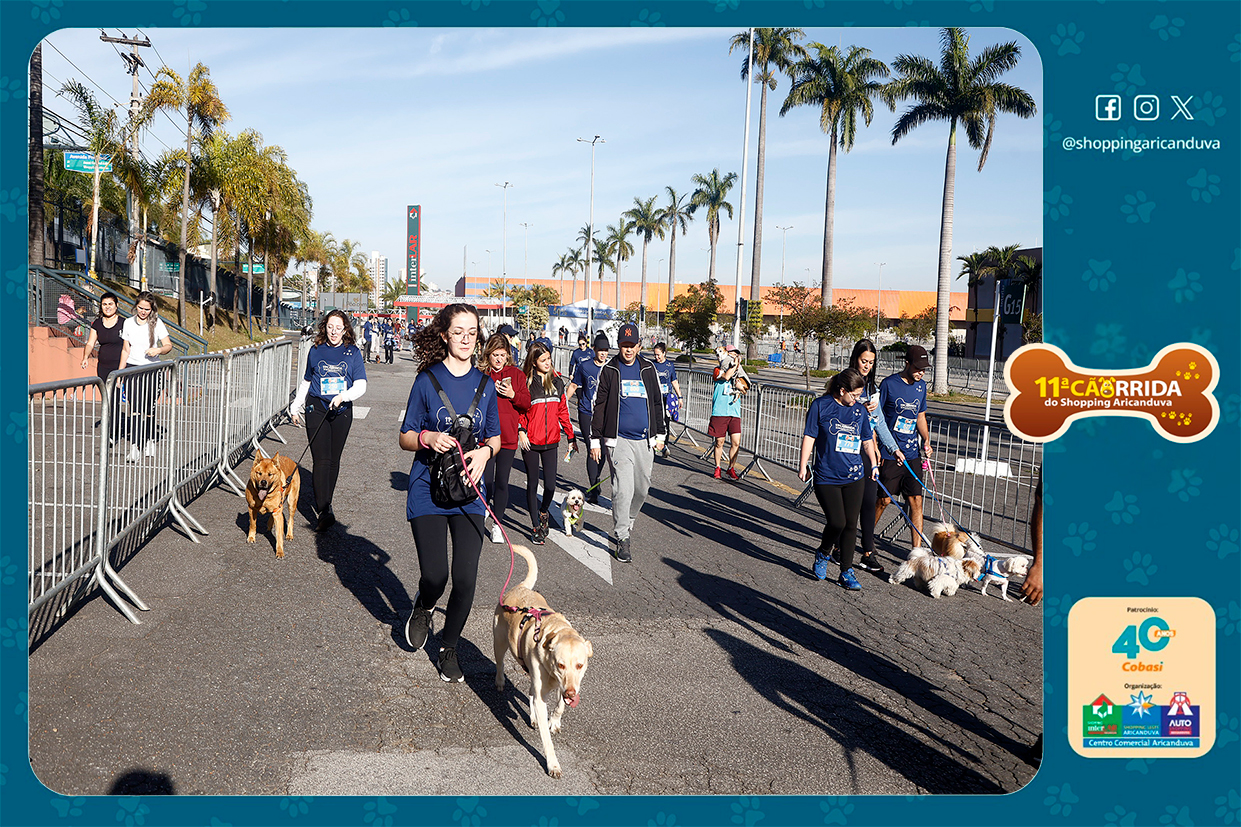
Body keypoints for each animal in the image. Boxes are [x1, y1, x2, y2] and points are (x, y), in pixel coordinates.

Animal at [494, 544, 594, 779]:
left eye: (580, 665)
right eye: (560, 664)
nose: (572, 694)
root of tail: (520, 587)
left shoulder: (565, 685)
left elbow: (559, 706)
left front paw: (554, 721)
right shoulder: (546, 691)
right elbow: (547, 740)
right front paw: (553, 764)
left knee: (531, 691)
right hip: (500, 642)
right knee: (500, 663)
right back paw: (500, 682)